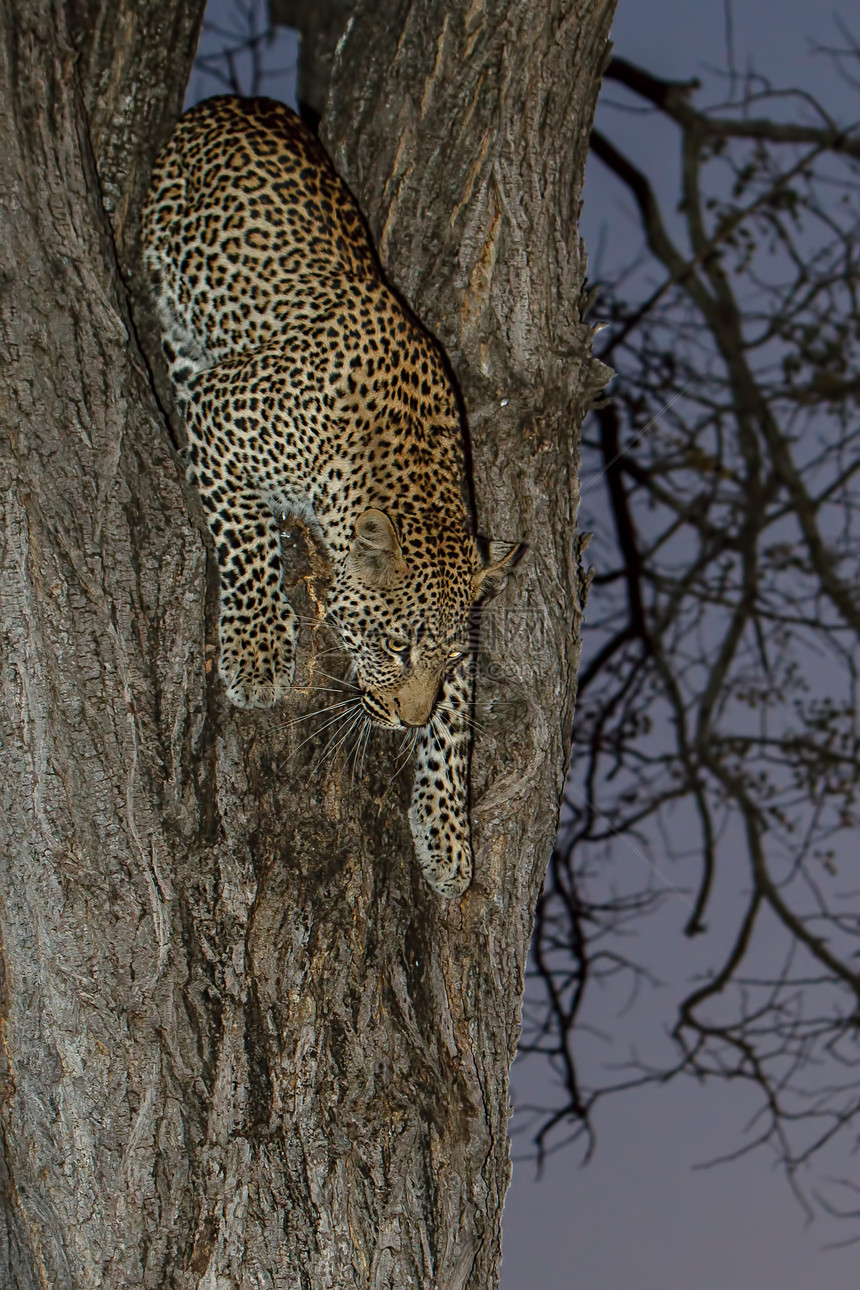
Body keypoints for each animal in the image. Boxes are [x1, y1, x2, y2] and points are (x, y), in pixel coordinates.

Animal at [143, 98, 518, 897]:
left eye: (444, 655)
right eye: (392, 646)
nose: (406, 721)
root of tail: (236, 102)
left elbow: (459, 721)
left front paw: (446, 833)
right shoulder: (225, 416)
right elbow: (245, 538)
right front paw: (257, 651)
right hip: (174, 295)